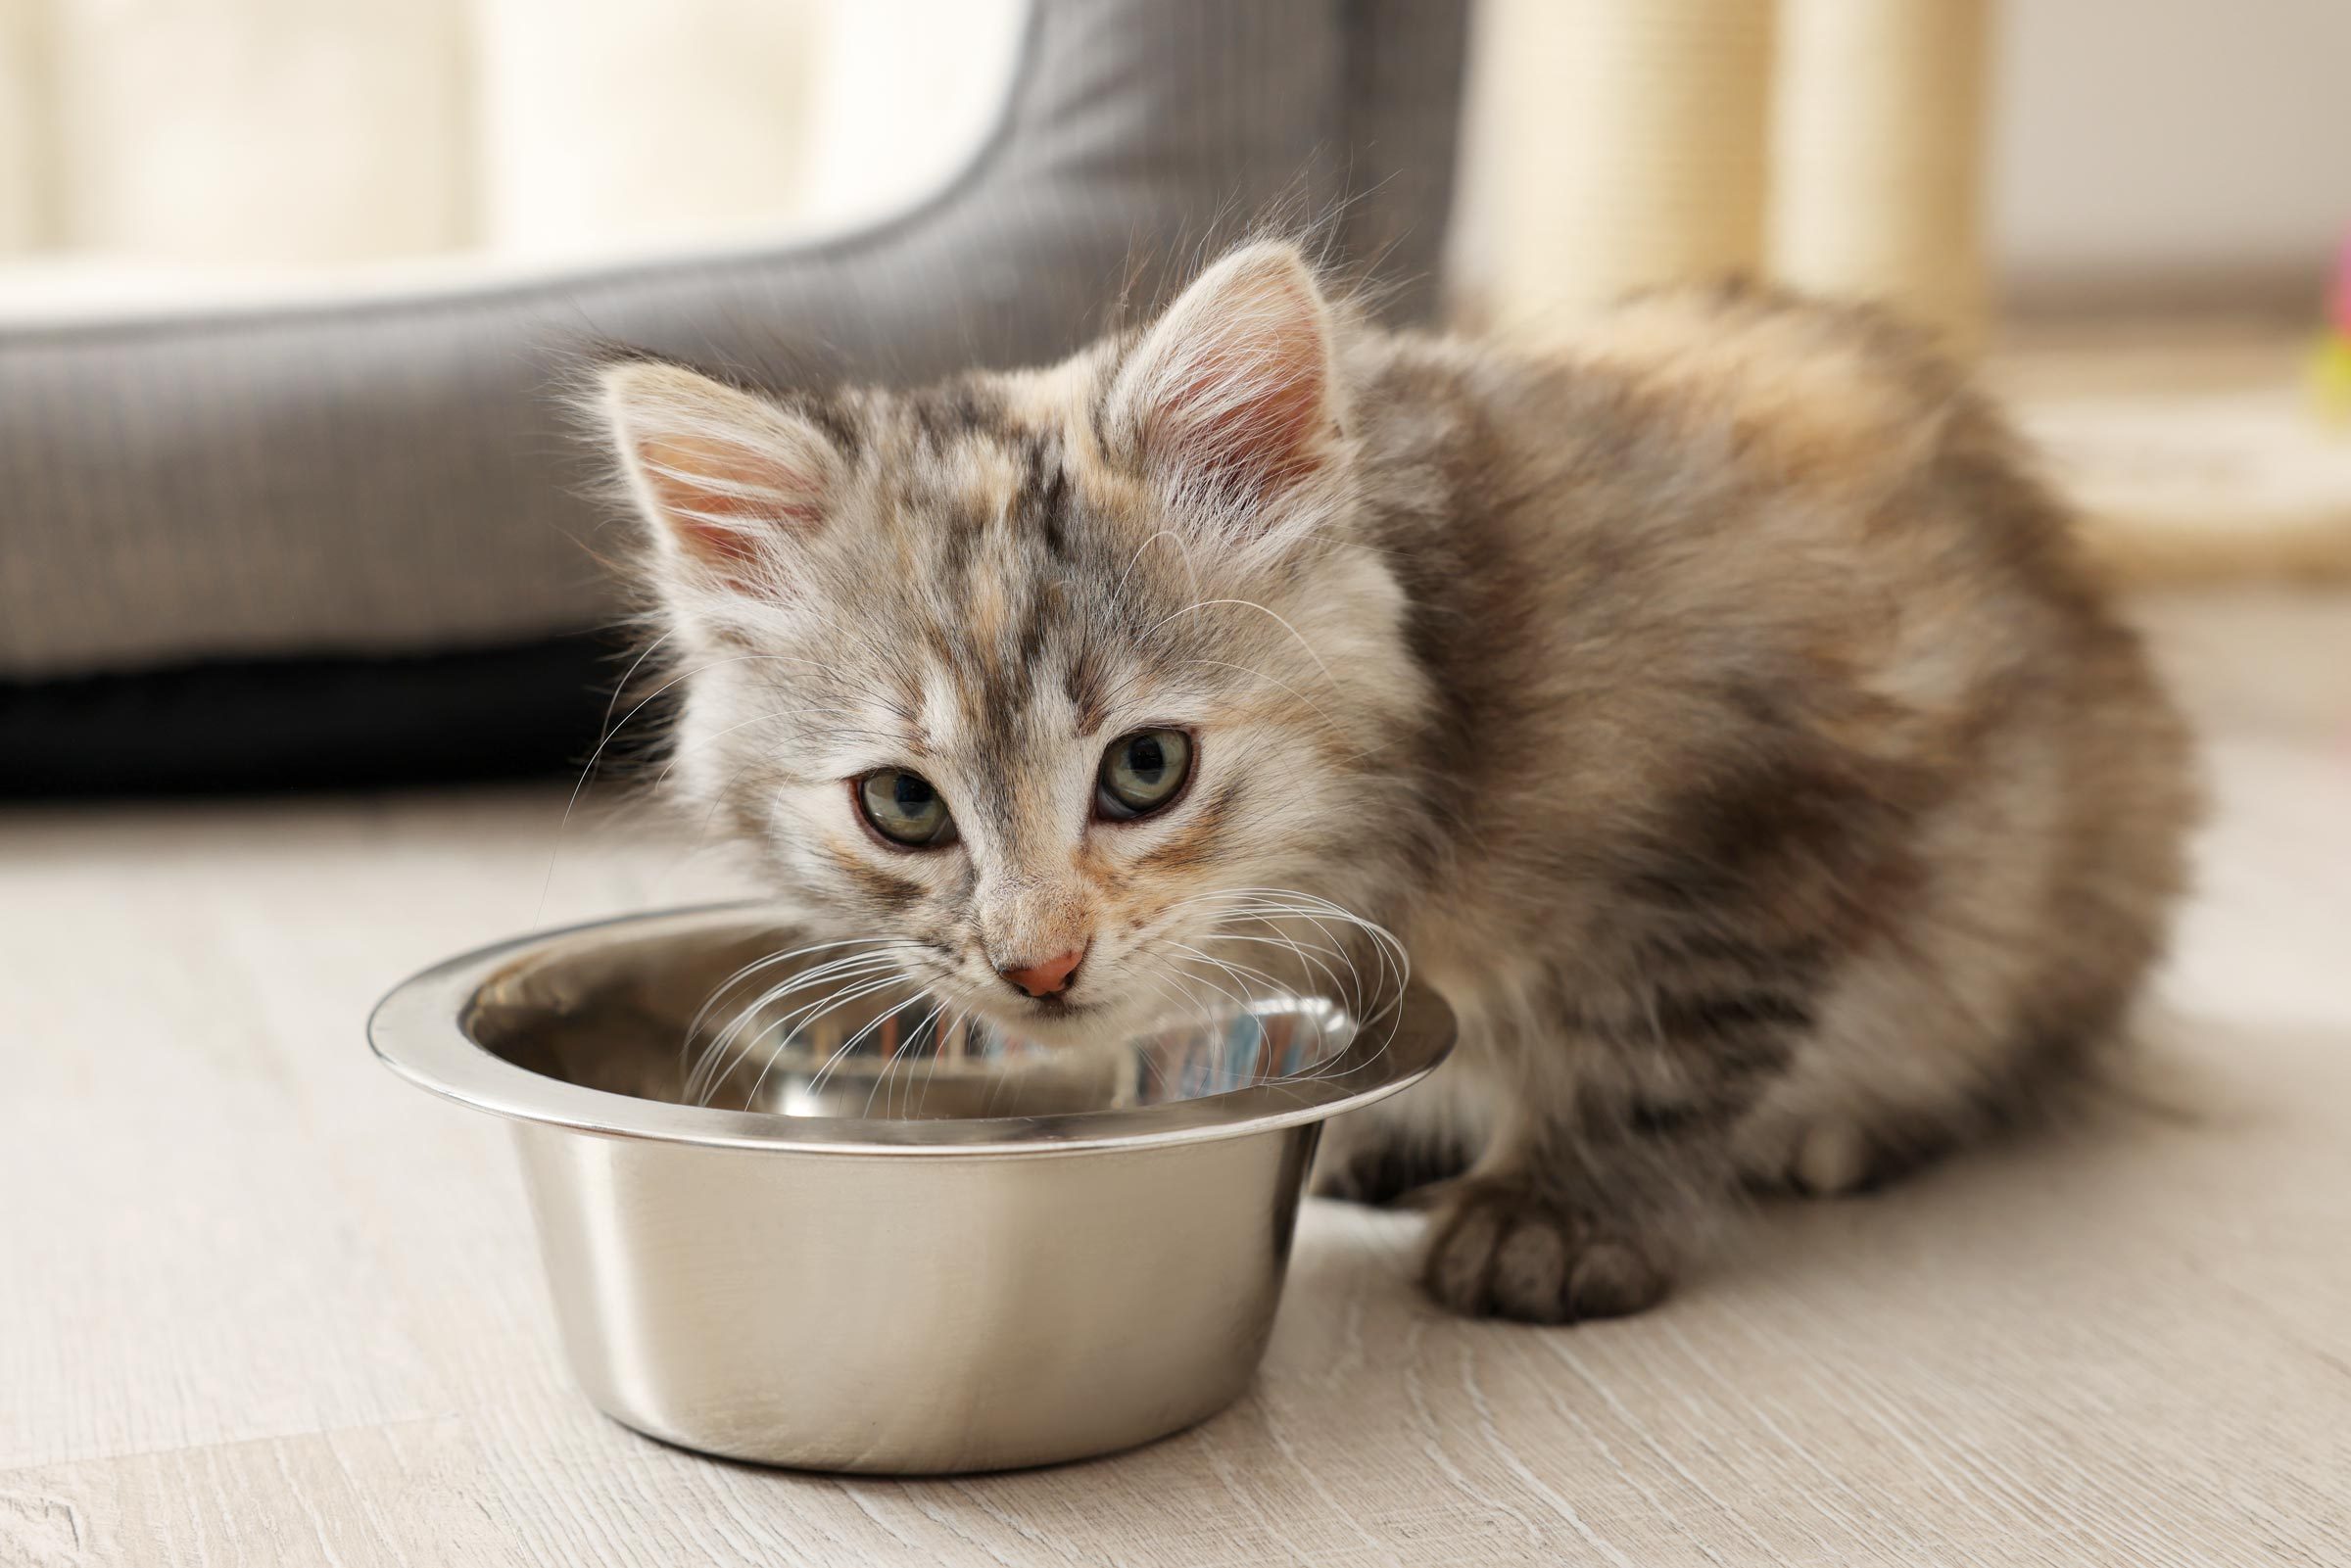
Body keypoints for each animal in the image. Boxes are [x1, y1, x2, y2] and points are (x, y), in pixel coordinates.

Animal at [592, 242, 2200, 1325]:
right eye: (905, 807)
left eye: (1147, 770)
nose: (1036, 965)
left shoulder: (1768, 821)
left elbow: (1648, 1049)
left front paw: (1554, 1214)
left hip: (2064, 871)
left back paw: (1838, 1130)